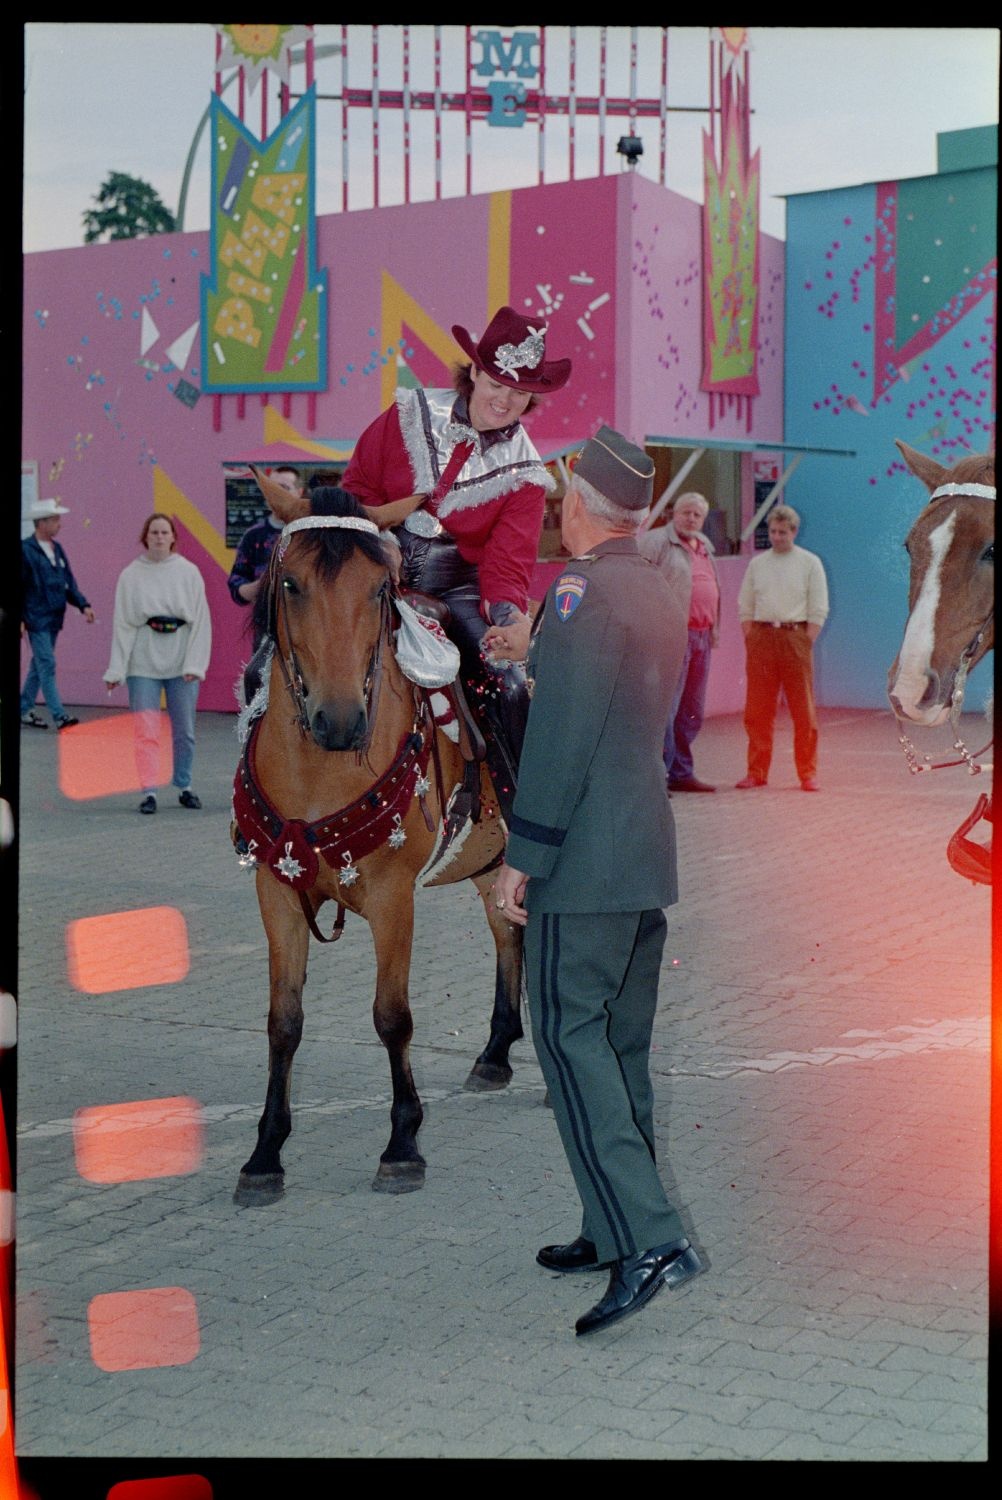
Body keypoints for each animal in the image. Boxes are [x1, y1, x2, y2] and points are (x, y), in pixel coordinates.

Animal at [229, 498, 522, 1200]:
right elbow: (283, 1020)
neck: (318, 773)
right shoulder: (275, 892)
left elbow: (393, 1016)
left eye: (377, 590)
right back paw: (496, 1054)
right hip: (488, 859)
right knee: (508, 931)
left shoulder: (392, 899)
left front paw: (403, 1144)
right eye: (290, 583)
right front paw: (265, 1153)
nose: (339, 721)